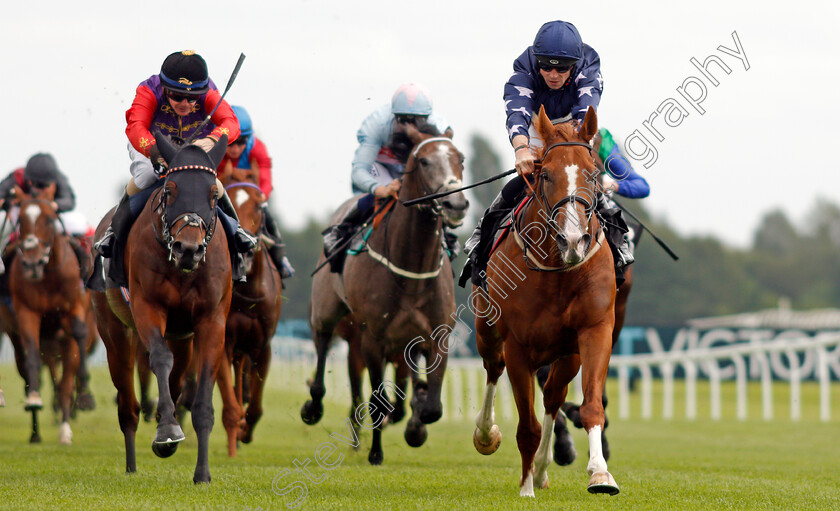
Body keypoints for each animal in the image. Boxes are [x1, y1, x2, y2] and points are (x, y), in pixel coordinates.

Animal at [90, 133, 233, 484]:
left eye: (214, 195)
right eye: (170, 190)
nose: (189, 249)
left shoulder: (212, 321)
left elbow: (202, 395)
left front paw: (202, 473)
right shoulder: (147, 307)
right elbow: (159, 359)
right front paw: (167, 430)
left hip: (182, 337)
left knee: (178, 378)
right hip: (114, 334)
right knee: (127, 405)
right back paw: (131, 464)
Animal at [306, 124, 470, 464]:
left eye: (460, 158)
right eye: (424, 161)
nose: (456, 204)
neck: (412, 268)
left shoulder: (437, 335)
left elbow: (432, 407)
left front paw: (416, 424)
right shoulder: (373, 338)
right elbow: (377, 401)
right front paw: (376, 453)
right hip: (327, 311)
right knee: (322, 349)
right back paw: (313, 407)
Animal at [476, 107, 620, 496]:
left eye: (593, 172)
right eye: (544, 174)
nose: (573, 240)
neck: (559, 270)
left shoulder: (595, 329)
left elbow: (589, 406)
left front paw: (600, 474)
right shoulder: (517, 346)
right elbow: (527, 426)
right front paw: (525, 489)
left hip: (567, 354)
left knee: (554, 397)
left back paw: (542, 469)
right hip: (486, 330)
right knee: (492, 368)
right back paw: (487, 435)